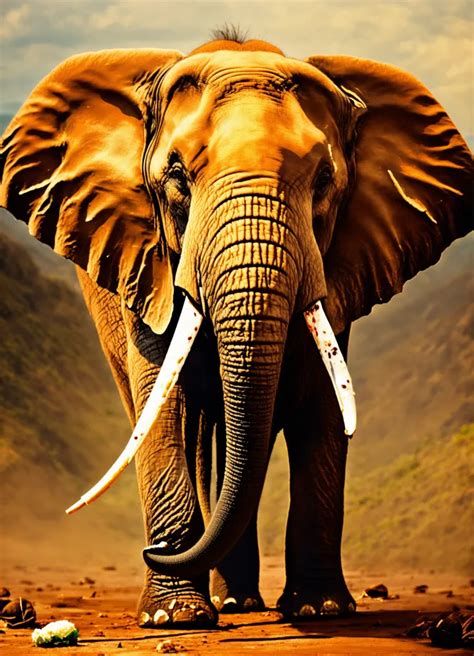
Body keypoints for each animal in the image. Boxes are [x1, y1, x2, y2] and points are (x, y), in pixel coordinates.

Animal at [1, 31, 472, 628]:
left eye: (324, 180)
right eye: (176, 178)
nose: (154, 550)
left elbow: (321, 403)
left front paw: (320, 611)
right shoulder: (147, 260)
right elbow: (164, 403)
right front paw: (174, 618)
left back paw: (239, 601)